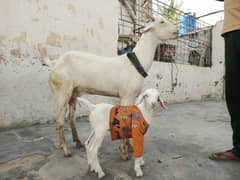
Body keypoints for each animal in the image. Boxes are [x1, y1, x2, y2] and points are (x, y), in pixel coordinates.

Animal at [40, 15, 176, 159]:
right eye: (162, 22)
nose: (177, 29)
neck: (136, 62)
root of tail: (54, 64)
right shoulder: (126, 95)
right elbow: (124, 120)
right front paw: (124, 152)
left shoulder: (132, 96)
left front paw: (129, 147)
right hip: (62, 89)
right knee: (60, 119)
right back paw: (65, 150)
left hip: (73, 92)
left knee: (70, 117)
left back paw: (77, 142)